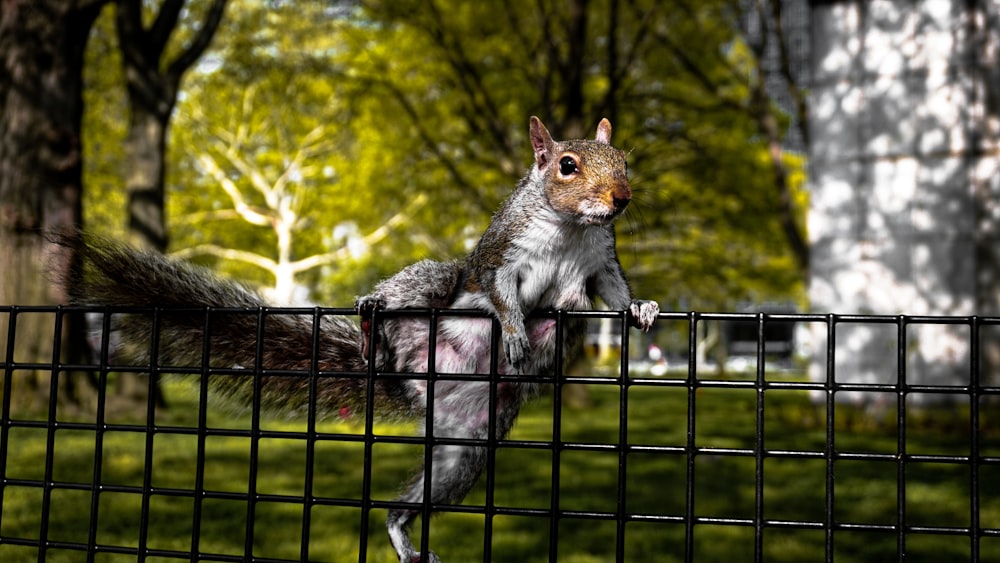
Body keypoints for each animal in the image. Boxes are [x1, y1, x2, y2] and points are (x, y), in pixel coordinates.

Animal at [62, 117, 660, 560]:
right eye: (566, 166)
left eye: (624, 161)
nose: (622, 198)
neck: (571, 229)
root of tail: (416, 380)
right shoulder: (498, 257)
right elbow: (501, 292)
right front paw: (513, 330)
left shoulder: (601, 261)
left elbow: (612, 291)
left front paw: (641, 307)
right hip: (431, 293)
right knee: (404, 304)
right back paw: (373, 323)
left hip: (465, 446)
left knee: (419, 494)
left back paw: (401, 532)